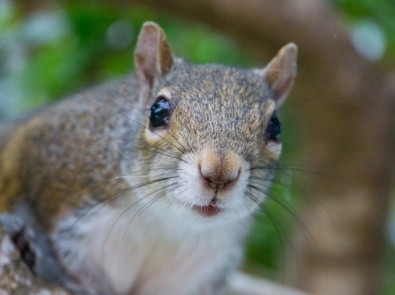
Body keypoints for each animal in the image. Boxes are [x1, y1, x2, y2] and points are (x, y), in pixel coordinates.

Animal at [0, 21, 296, 295]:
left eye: (276, 127)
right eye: (157, 111)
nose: (219, 173)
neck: (167, 222)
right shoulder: (45, 156)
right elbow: (37, 221)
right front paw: (56, 268)